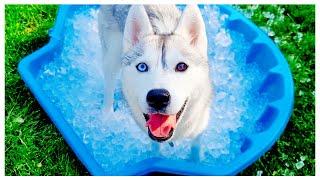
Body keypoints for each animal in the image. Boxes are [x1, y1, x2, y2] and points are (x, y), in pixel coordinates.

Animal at [97, 4, 212, 142]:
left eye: (181, 66)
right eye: (142, 67)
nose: (158, 97)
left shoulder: (198, 130)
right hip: (112, 58)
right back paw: (107, 116)